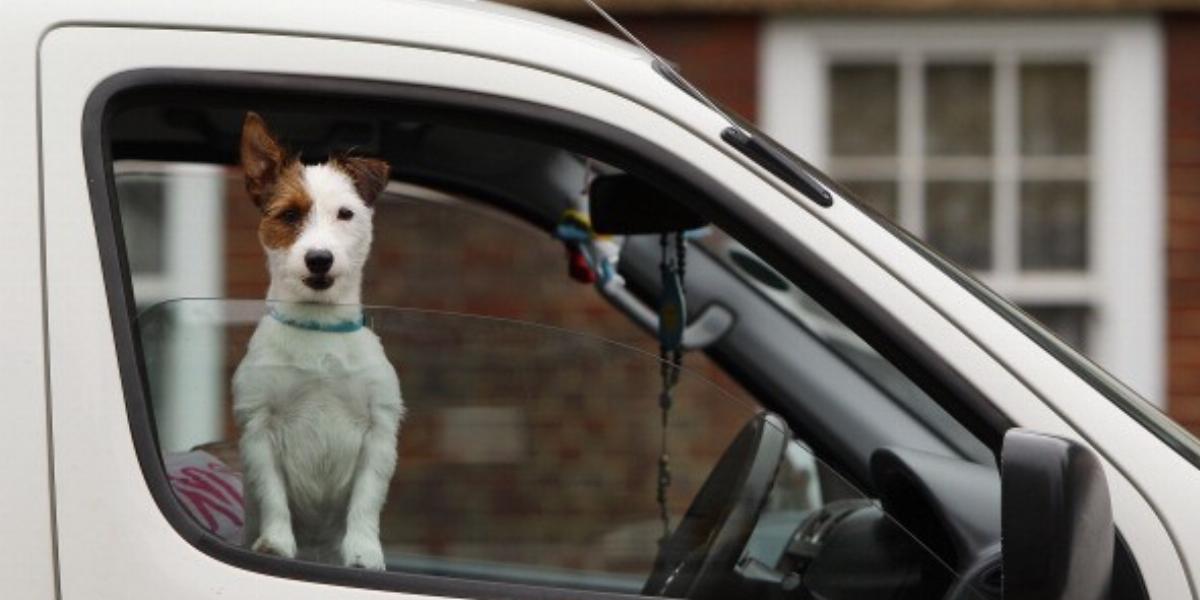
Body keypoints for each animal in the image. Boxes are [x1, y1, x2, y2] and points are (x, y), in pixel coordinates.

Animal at [231, 110, 405, 568]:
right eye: (290, 215)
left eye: (345, 214)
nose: (319, 259)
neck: (319, 327)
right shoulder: (260, 429)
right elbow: (273, 496)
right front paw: (275, 543)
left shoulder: (378, 434)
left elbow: (365, 502)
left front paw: (363, 551)